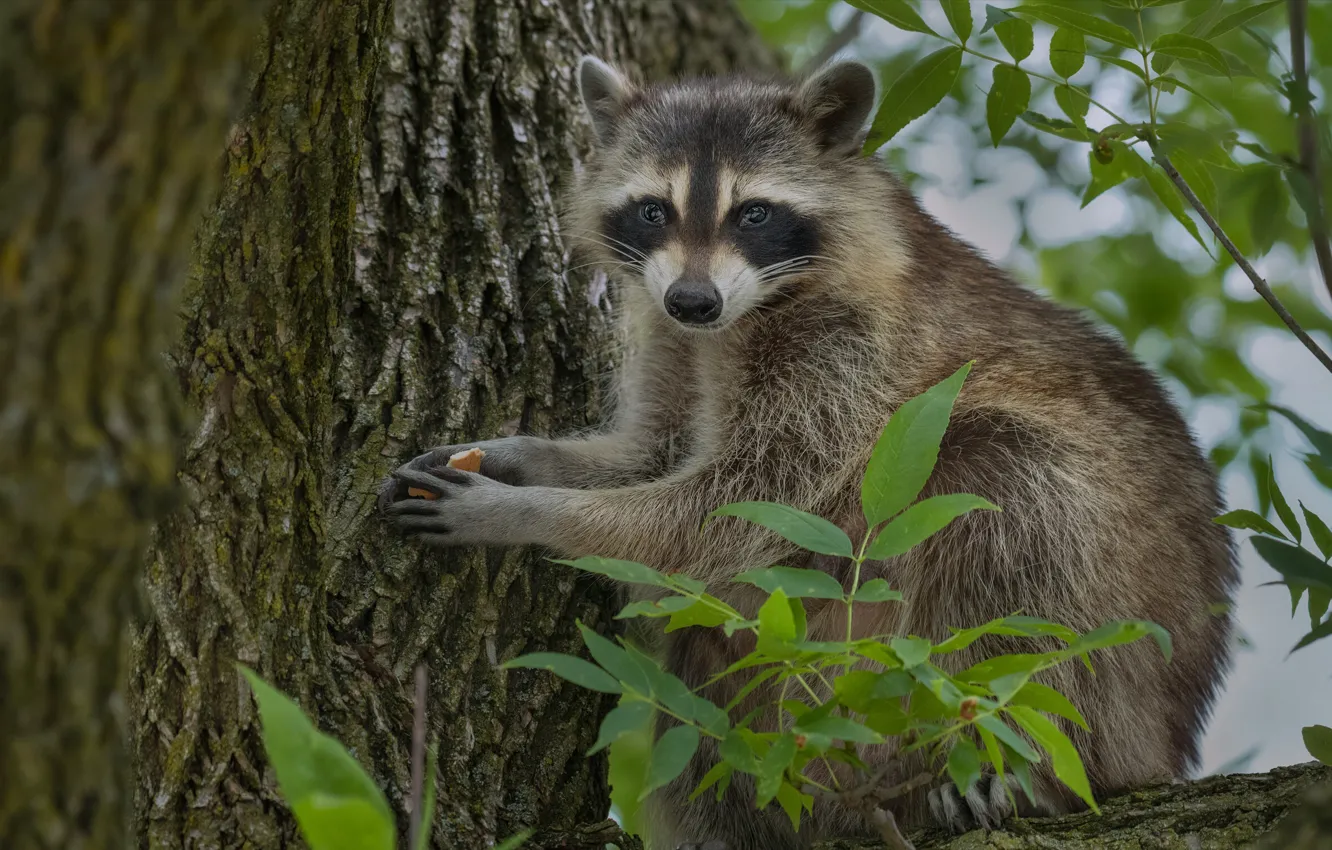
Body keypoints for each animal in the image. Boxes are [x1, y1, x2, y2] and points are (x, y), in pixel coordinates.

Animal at [378, 56, 1236, 847]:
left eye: (754, 213)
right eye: (653, 210)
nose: (694, 300)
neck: (742, 314)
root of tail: (1172, 728)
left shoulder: (848, 349)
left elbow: (739, 508)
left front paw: (526, 510)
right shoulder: (672, 333)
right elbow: (654, 455)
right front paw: (521, 457)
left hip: (1114, 649)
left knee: (1018, 496)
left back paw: (1026, 759)